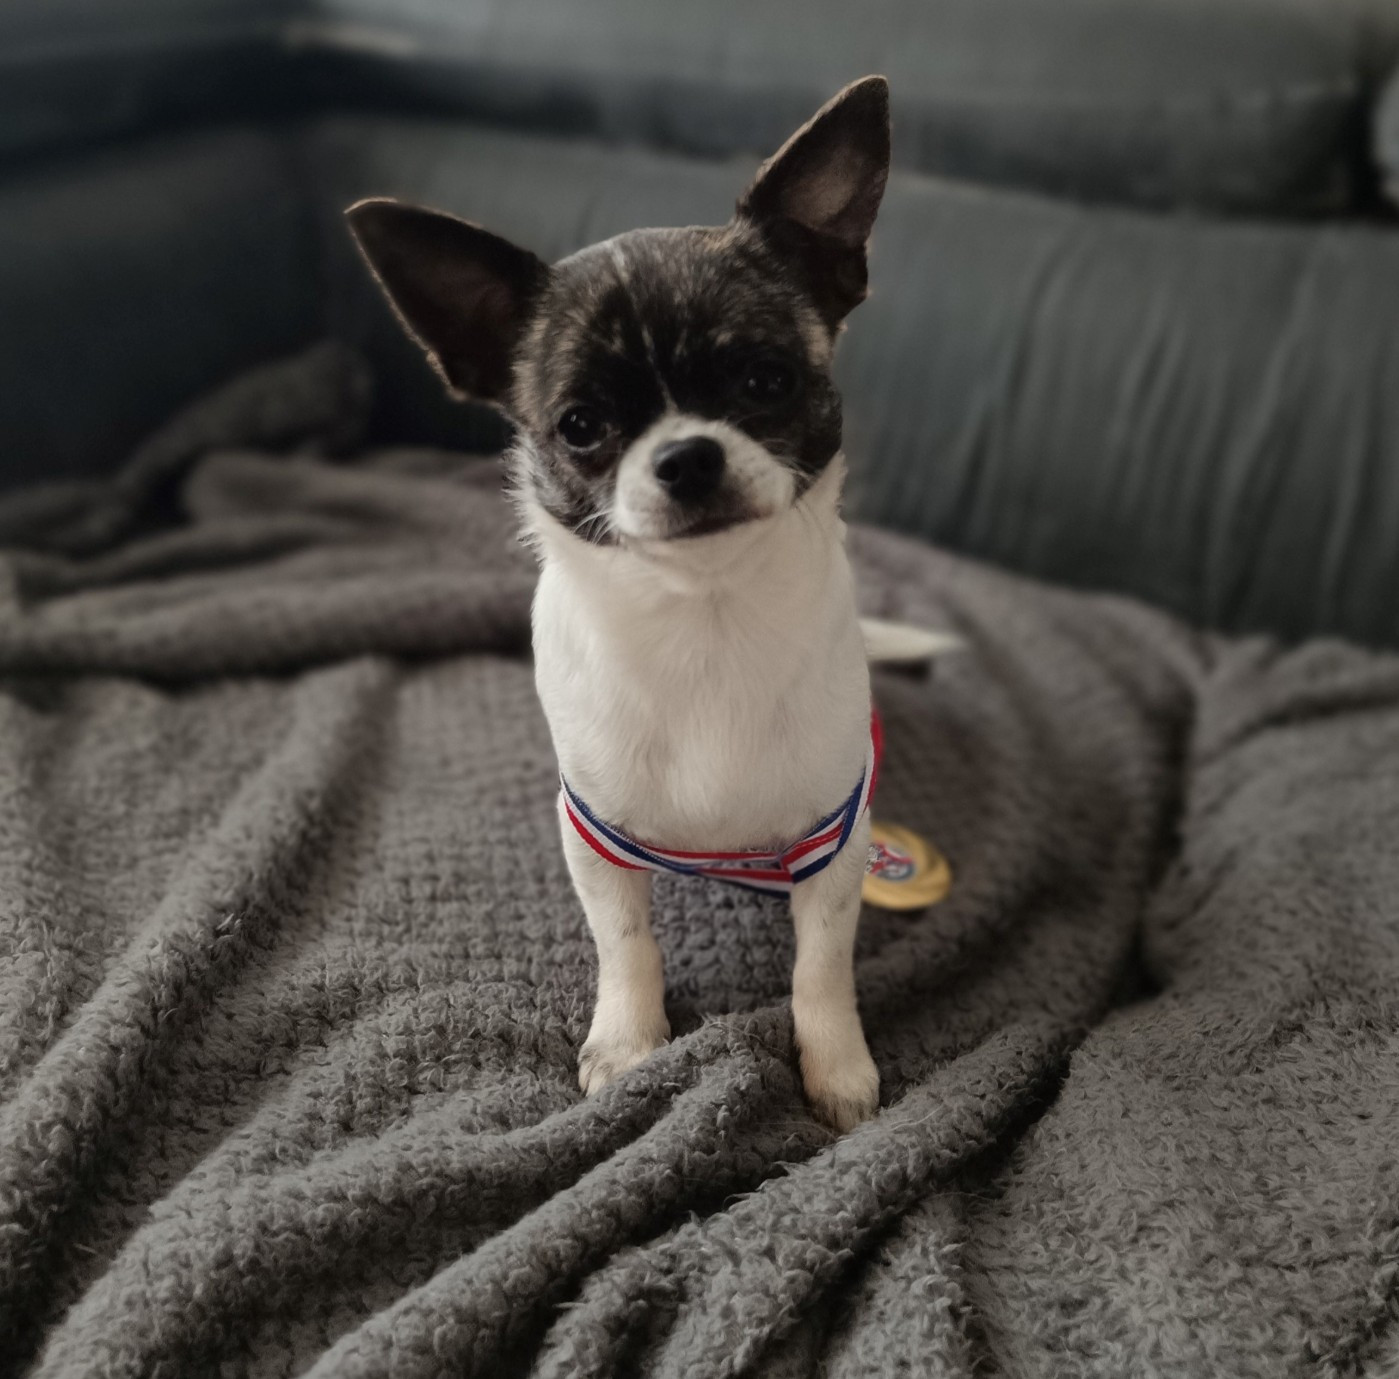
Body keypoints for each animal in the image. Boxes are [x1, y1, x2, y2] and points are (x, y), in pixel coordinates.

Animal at [348, 75, 928, 1130]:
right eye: (581, 426)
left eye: (765, 380)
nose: (687, 455)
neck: (704, 617)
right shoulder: (595, 839)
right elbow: (627, 944)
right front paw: (626, 1043)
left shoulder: (834, 848)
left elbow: (820, 967)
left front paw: (835, 1064)